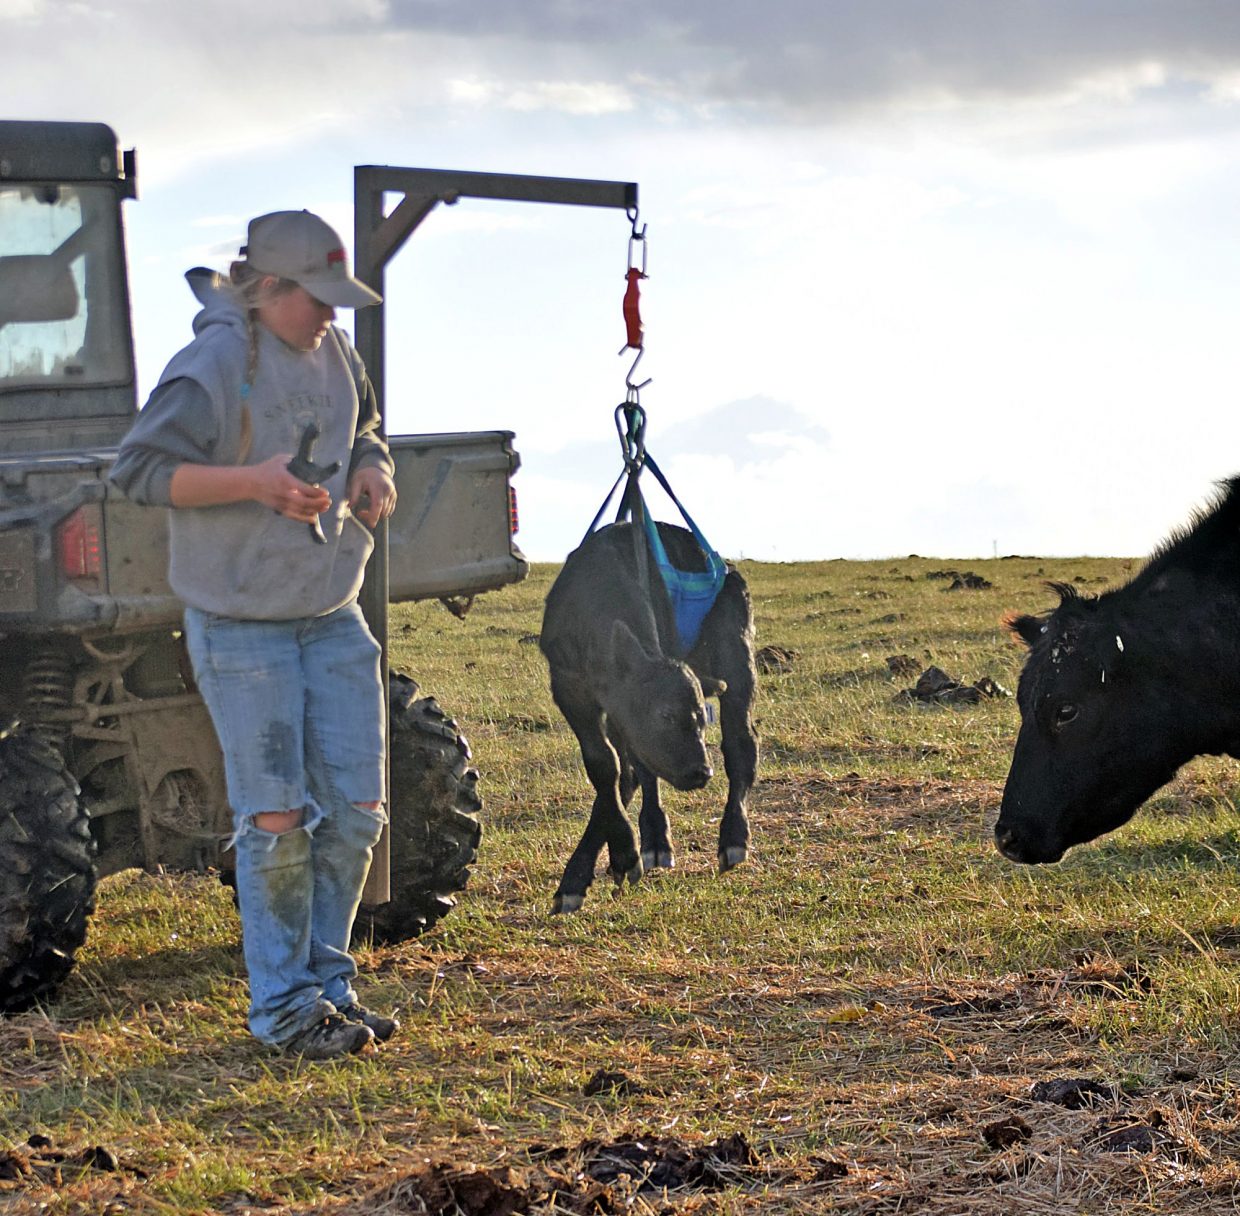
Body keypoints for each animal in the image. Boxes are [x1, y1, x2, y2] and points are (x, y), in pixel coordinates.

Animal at [539, 520, 759, 913]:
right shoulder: (569, 690)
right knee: (627, 771)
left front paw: (648, 842)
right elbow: (605, 765)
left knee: (741, 745)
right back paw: (580, 875)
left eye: (700, 718)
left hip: (737, 657)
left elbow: (636, 766)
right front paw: (624, 850)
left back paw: (733, 838)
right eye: (665, 715)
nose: (701, 772)